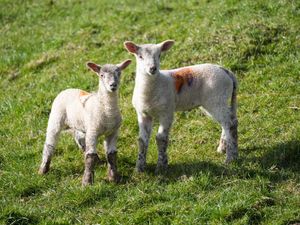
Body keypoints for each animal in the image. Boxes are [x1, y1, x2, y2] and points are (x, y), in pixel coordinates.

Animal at [123, 40, 238, 173]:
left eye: (159, 55)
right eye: (140, 56)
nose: (153, 68)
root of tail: (226, 71)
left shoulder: (167, 112)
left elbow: (161, 138)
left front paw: (161, 166)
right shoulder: (143, 114)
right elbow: (142, 141)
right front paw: (139, 168)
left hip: (217, 99)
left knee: (229, 124)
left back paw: (230, 157)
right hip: (216, 102)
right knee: (229, 122)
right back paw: (227, 149)